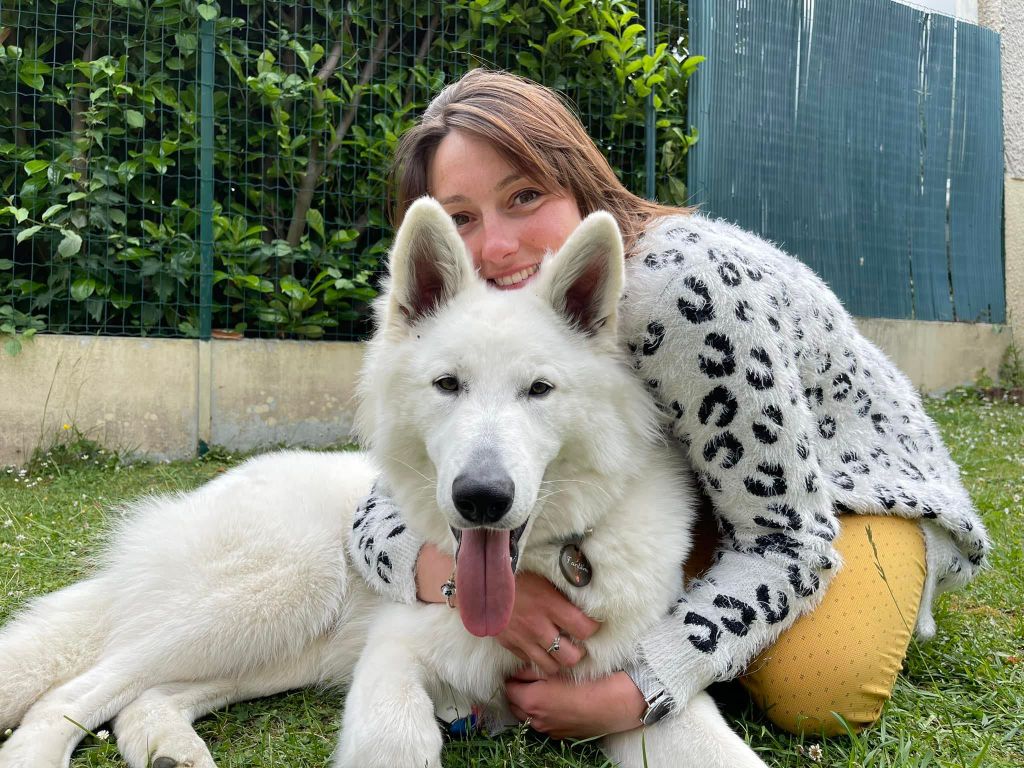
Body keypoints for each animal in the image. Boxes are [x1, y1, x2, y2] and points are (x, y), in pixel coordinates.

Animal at [0, 199, 770, 768]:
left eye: (539, 389)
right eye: (447, 384)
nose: (481, 498)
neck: (544, 567)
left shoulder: (636, 695)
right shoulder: (394, 657)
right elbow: (396, 737)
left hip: (283, 645)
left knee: (144, 695)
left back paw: (167, 746)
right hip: (275, 593)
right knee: (77, 688)